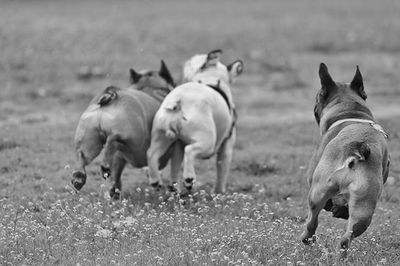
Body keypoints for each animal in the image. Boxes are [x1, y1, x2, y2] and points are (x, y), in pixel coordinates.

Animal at [70, 60, 177, 197]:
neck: (150, 89)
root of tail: (112, 96)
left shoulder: (119, 158)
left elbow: (116, 176)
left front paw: (114, 192)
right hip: (134, 136)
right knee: (114, 137)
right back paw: (105, 165)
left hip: (89, 141)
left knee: (82, 156)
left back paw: (79, 177)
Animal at [145, 48, 242, 192]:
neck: (211, 79)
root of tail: (179, 99)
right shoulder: (227, 148)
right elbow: (222, 173)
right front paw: (218, 192)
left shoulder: (178, 146)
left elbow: (175, 166)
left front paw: (175, 189)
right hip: (207, 142)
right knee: (190, 151)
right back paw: (189, 178)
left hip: (161, 136)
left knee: (151, 153)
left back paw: (156, 180)